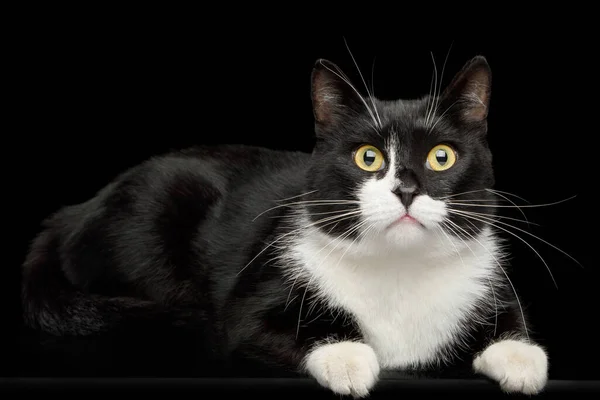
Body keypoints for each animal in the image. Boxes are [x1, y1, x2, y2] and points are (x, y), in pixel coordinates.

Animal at [21, 56, 548, 396]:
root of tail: (75, 210)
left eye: (442, 157)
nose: (405, 189)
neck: (400, 269)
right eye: (368, 157)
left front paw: (522, 359)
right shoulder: (253, 293)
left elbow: (510, 322)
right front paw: (348, 358)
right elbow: (256, 326)